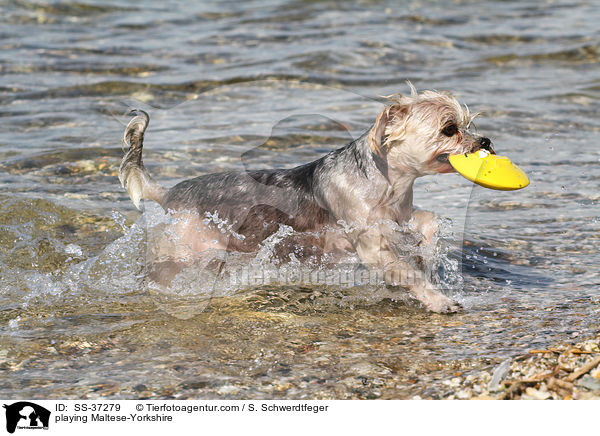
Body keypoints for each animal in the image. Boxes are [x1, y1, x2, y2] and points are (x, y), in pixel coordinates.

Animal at [117, 87, 492, 314]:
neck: (387, 181)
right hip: (182, 252)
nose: (485, 140)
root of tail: (169, 194)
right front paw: (438, 299)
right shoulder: (370, 243)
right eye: (449, 128)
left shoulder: (399, 216)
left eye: (469, 124)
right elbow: (407, 272)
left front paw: (427, 252)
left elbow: (428, 222)